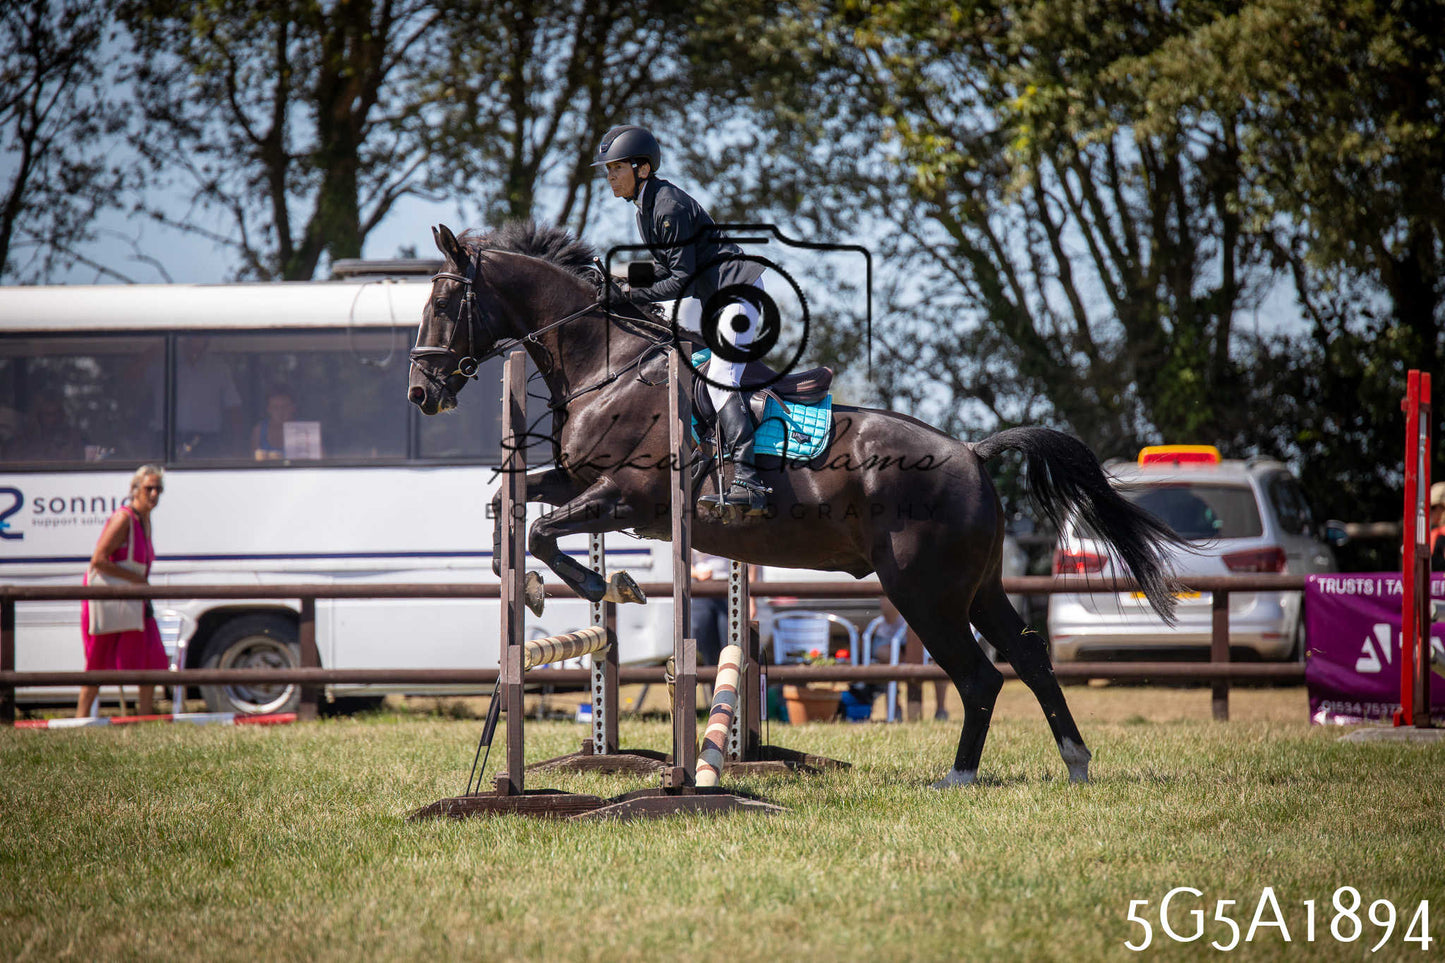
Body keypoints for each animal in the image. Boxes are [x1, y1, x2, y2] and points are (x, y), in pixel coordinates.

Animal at [407, 221, 1185, 787]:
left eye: (443, 302)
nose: (421, 393)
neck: (608, 365)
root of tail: (971, 450)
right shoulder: (580, 483)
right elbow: (518, 503)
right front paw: (525, 571)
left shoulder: (626, 496)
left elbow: (544, 530)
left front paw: (604, 584)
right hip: (978, 585)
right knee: (1027, 655)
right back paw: (1074, 762)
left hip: (923, 590)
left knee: (979, 674)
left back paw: (959, 776)